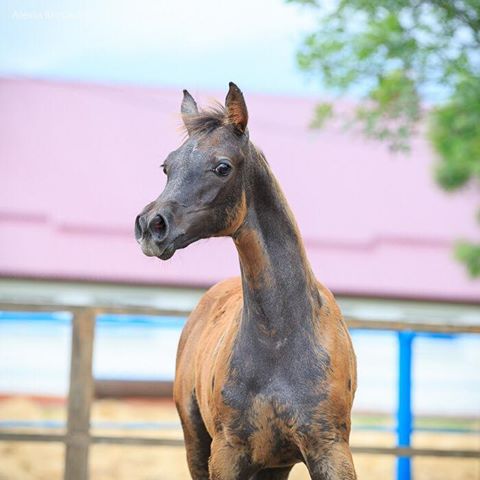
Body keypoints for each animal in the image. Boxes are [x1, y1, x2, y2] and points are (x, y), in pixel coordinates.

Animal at [135, 83, 356, 480]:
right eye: (167, 166)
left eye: (222, 167)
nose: (150, 226)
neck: (280, 339)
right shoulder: (227, 454)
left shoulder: (330, 449)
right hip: (197, 444)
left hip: (274, 465)